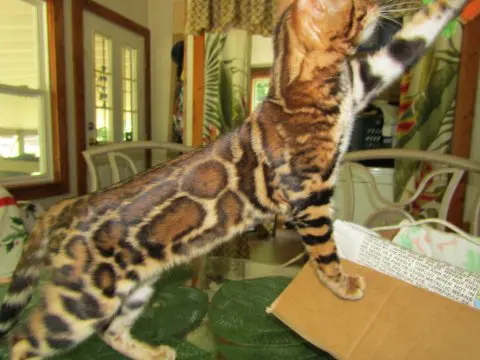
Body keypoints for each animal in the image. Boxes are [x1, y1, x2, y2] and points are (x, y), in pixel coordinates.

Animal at [0, 0, 466, 360]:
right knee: (24, 340)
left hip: (135, 290)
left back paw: (152, 352)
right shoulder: (309, 196)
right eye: (357, 5)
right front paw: (342, 284)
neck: (298, 86)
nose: (377, 6)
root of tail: (73, 202)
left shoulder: (366, 78)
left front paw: (451, 7)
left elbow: (417, 34)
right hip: (83, 301)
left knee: (111, 331)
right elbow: (325, 253)